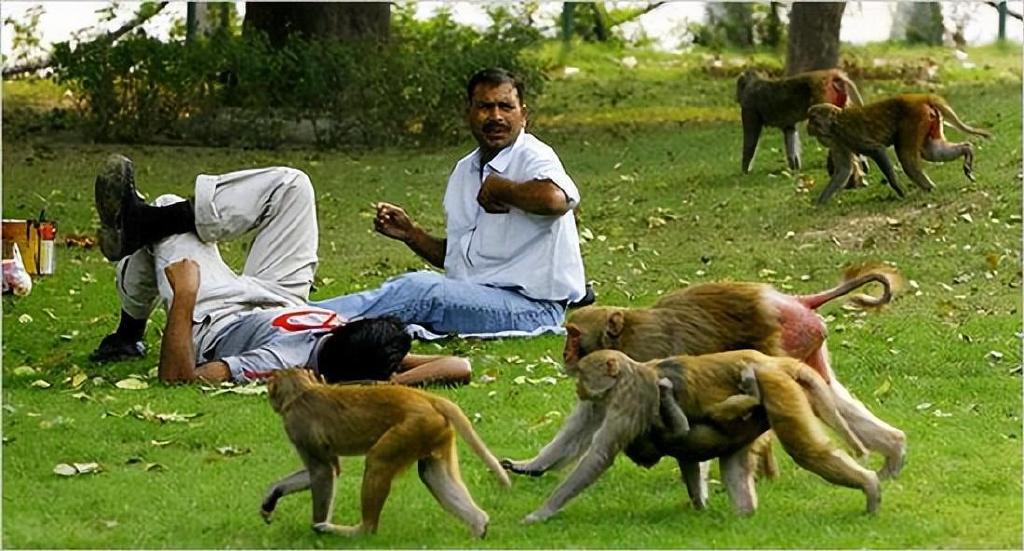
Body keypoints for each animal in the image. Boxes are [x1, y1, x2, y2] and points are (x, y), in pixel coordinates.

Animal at [260, 368, 507, 536]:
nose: (270, 398)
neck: (302, 391)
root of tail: (427, 398)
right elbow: (331, 469)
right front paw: (271, 495)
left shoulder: (297, 426)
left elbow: (323, 471)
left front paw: (315, 528)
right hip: (433, 430)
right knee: (431, 473)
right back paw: (479, 524)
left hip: (412, 428)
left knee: (377, 462)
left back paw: (359, 530)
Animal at [806, 92, 991, 203]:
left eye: (812, 119)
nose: (808, 127)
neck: (835, 124)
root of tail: (920, 98)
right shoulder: (838, 141)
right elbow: (843, 170)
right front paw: (820, 203)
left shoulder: (847, 133)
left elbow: (877, 150)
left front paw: (899, 190)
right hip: (928, 121)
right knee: (930, 151)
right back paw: (967, 150)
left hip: (915, 119)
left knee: (906, 156)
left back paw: (928, 188)